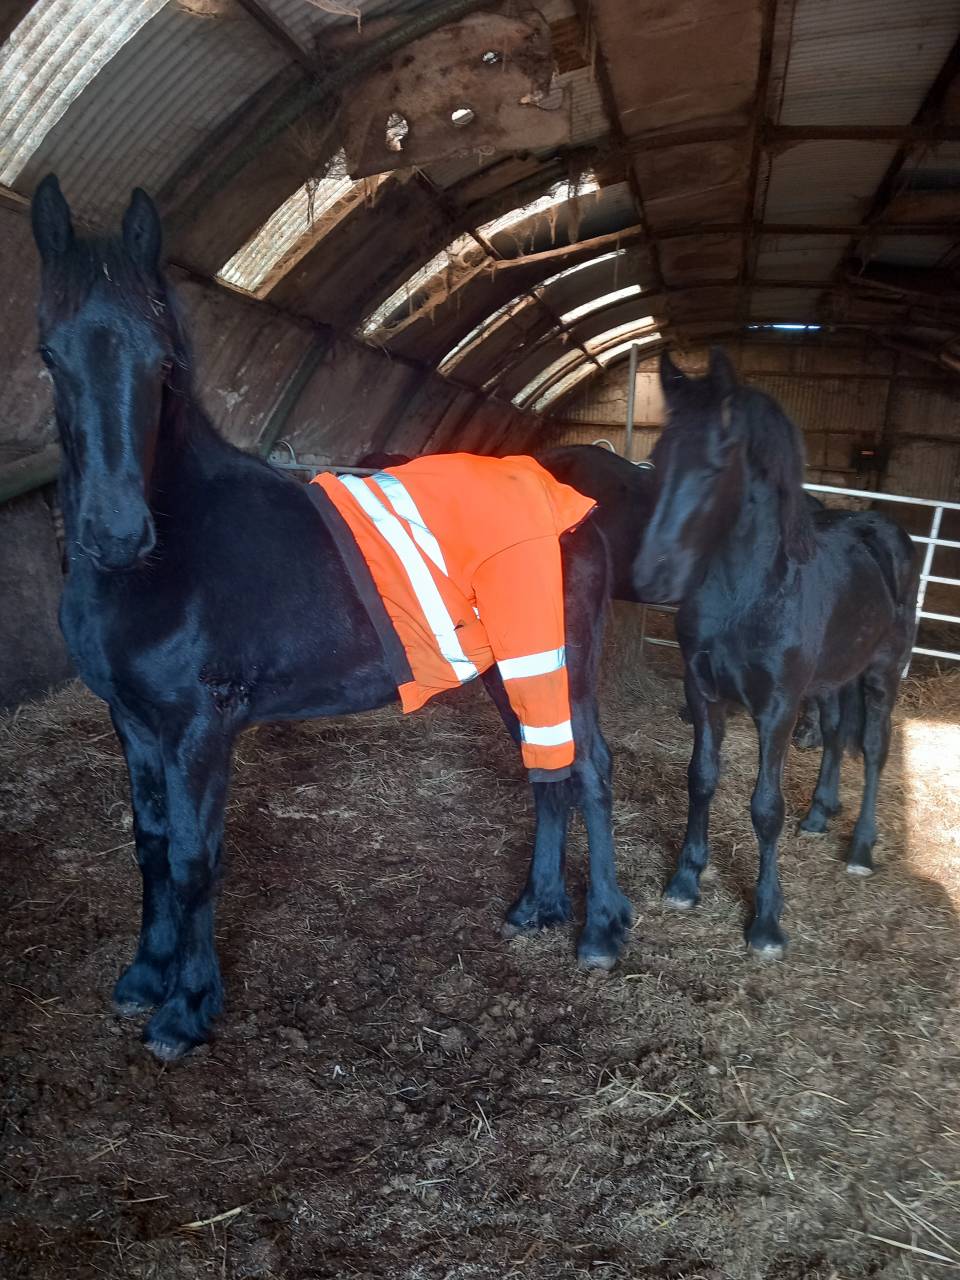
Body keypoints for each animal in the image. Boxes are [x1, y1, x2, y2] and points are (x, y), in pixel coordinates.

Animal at [30, 175, 632, 1060]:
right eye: (51, 355)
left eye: (162, 360)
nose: (115, 534)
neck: (176, 547)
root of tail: (571, 502)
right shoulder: (133, 723)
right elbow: (149, 846)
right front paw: (144, 976)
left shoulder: (200, 728)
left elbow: (194, 859)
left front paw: (185, 1009)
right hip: (510, 671)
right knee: (547, 768)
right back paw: (536, 907)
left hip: (559, 663)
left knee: (588, 768)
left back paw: (600, 932)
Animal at [633, 349, 918, 956]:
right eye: (658, 457)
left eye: (716, 466)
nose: (649, 576)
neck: (747, 594)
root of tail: (884, 528)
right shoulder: (703, 692)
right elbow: (701, 777)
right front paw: (686, 880)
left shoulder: (779, 707)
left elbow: (766, 808)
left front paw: (766, 921)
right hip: (834, 679)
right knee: (834, 732)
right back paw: (819, 814)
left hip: (882, 673)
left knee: (874, 749)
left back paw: (860, 848)